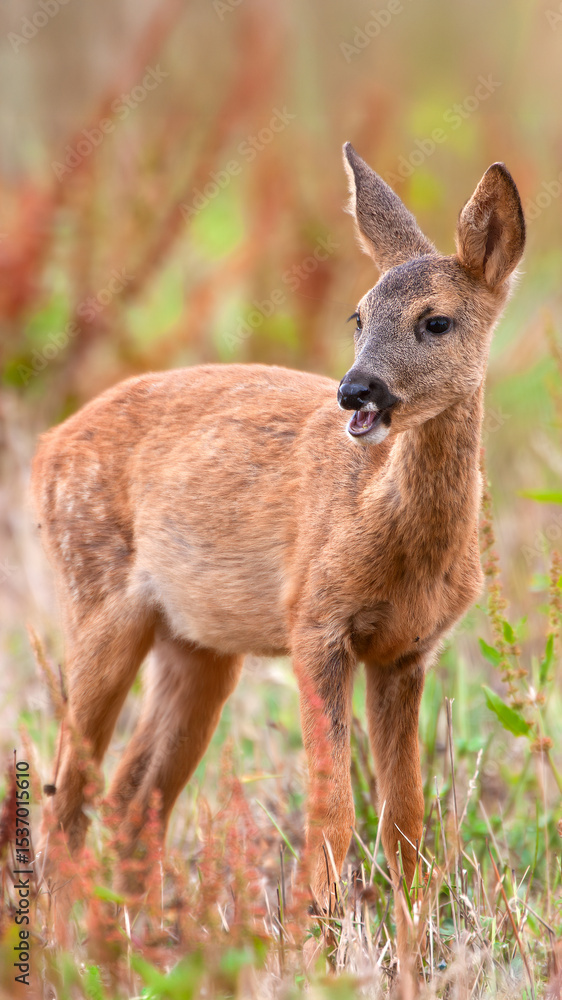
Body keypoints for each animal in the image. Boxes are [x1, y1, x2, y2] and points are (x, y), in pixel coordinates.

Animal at [31, 143, 525, 969]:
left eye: (436, 321)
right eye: (358, 315)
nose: (356, 389)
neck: (390, 531)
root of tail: (44, 449)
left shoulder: (407, 651)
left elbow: (406, 821)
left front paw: (413, 955)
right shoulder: (313, 620)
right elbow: (333, 808)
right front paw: (306, 943)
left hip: (199, 648)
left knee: (134, 791)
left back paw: (130, 949)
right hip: (96, 600)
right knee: (69, 788)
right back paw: (65, 953)